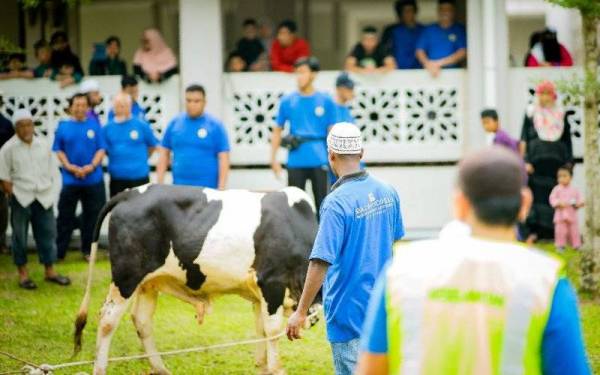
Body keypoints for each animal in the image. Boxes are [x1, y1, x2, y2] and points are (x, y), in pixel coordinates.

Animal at [74, 185, 318, 375]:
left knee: (142, 321)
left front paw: (263, 367)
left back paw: (160, 368)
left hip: (148, 283)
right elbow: (273, 331)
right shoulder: (271, 283)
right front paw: (276, 368)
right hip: (126, 276)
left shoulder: (259, 294)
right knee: (108, 320)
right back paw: (100, 368)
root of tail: (130, 193)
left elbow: (260, 331)